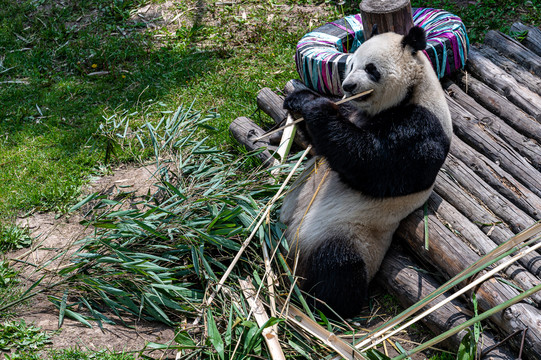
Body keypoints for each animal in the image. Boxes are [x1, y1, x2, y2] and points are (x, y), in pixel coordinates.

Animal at [278, 26, 452, 318]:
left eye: (371, 69)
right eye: (349, 65)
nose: (348, 86)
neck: (413, 91)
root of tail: (293, 256)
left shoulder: (422, 128)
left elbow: (371, 163)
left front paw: (316, 108)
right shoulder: (351, 108)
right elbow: (321, 143)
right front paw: (297, 101)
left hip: (350, 234)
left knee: (339, 266)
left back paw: (324, 305)